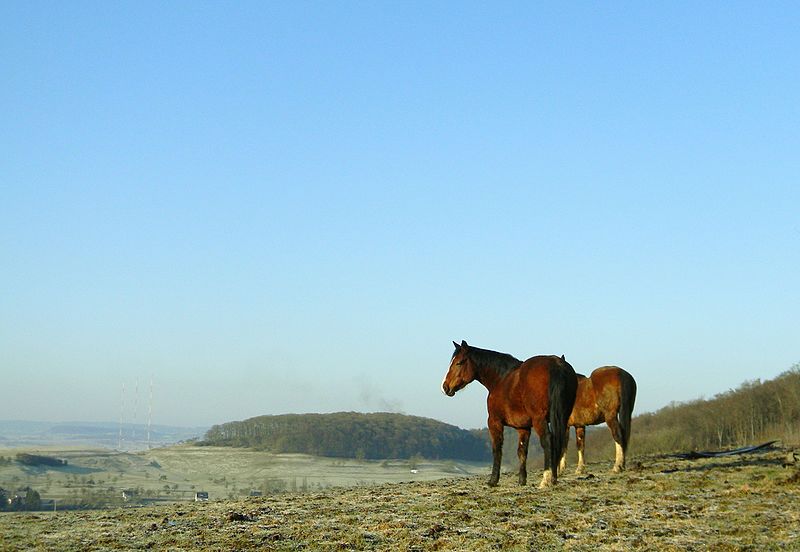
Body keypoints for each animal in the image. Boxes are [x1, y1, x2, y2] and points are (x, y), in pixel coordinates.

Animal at [440, 340, 580, 488]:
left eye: (459, 362)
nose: (445, 387)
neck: (500, 379)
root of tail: (556, 365)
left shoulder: (494, 422)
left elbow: (497, 449)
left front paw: (493, 480)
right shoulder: (523, 427)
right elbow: (522, 451)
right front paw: (521, 480)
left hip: (540, 420)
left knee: (547, 440)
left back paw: (545, 479)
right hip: (562, 417)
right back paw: (554, 478)